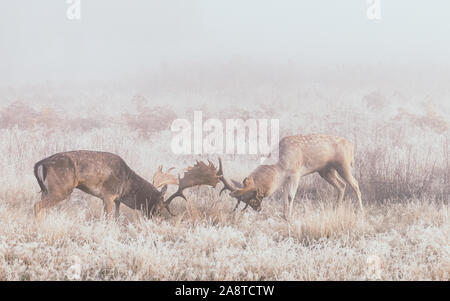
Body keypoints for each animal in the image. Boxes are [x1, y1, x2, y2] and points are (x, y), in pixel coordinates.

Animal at [218, 134, 362, 218]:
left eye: (252, 197)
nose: (258, 208)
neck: (280, 165)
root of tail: (352, 146)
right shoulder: (285, 179)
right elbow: (284, 198)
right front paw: (284, 216)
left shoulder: (295, 173)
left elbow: (290, 196)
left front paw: (290, 217)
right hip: (326, 171)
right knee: (341, 185)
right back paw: (336, 210)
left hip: (343, 165)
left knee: (355, 184)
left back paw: (361, 212)